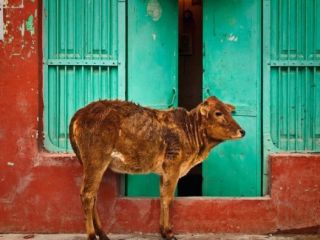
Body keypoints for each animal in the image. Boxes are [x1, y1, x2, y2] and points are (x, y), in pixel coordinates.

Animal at [69, 96, 245, 240]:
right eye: (218, 113)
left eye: (229, 112)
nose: (242, 131)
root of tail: (80, 112)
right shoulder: (173, 165)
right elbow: (168, 198)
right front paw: (169, 233)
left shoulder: (164, 171)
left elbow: (162, 196)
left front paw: (163, 231)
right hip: (96, 160)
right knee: (87, 195)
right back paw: (92, 235)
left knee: (93, 196)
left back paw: (103, 234)